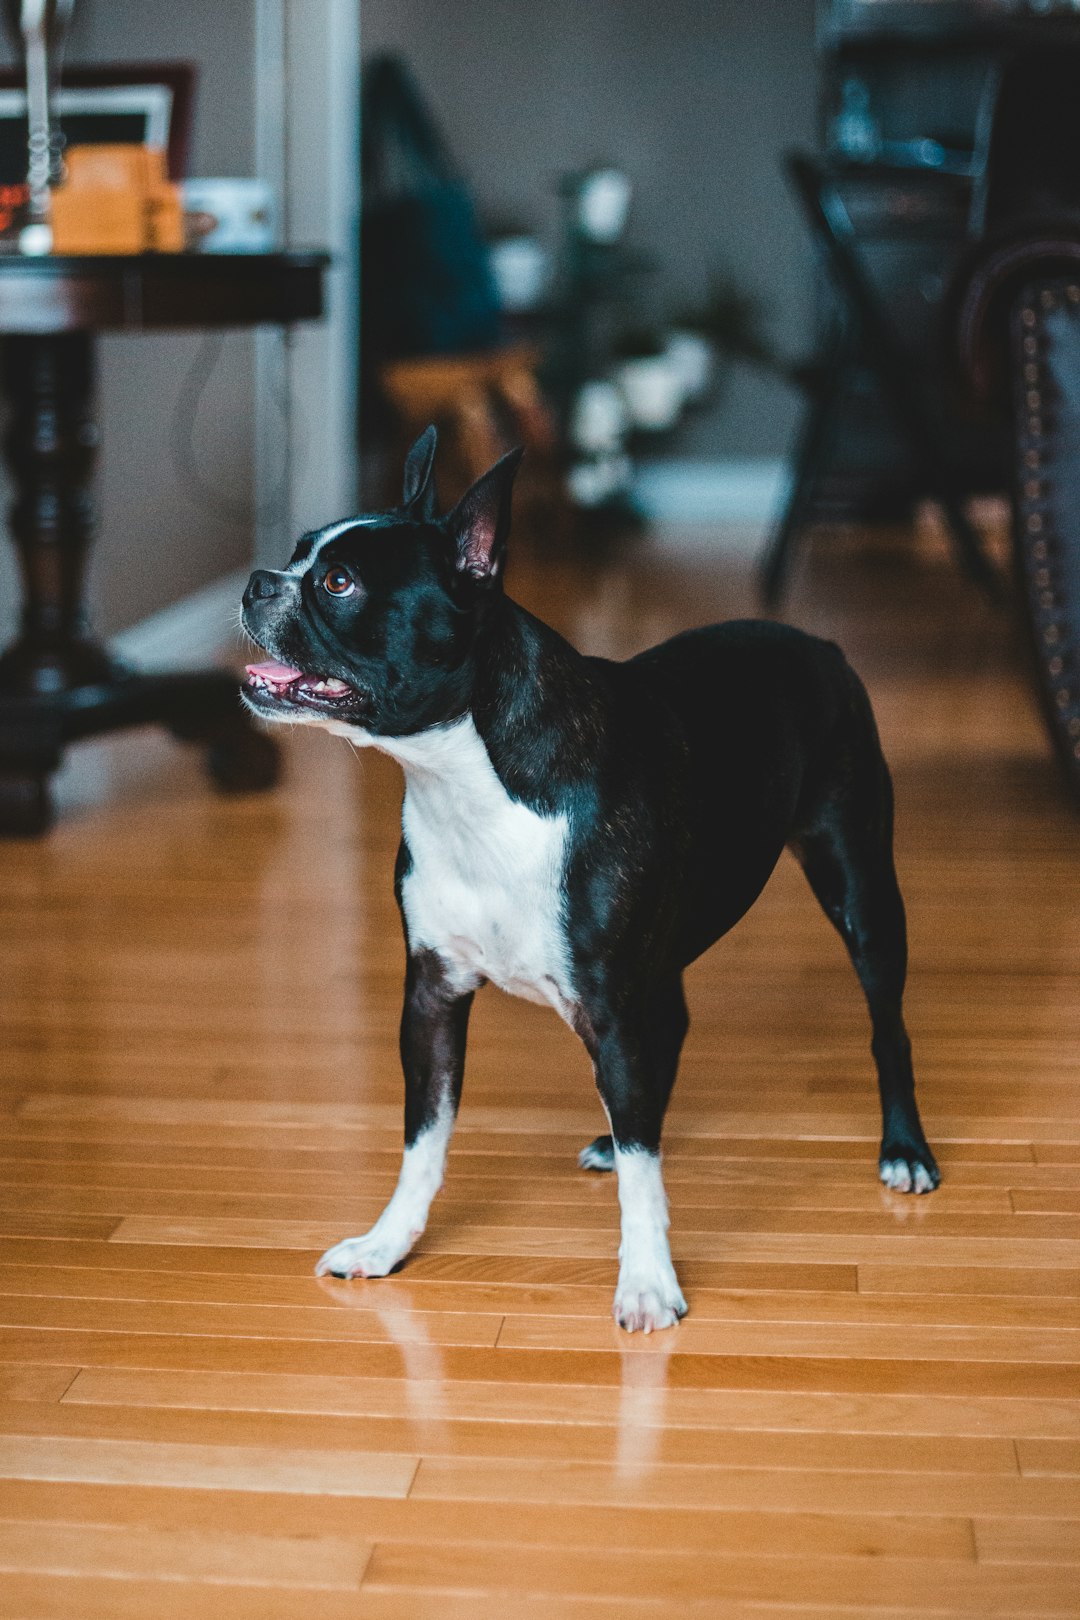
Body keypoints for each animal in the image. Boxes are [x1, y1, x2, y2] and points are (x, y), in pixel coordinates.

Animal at [242, 427, 939, 1328]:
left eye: (338, 582)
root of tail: (819, 643)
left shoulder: (609, 1006)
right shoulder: (433, 998)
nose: (258, 581)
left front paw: (647, 1281)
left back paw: (905, 1150)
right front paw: (388, 1244)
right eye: (298, 554)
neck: (468, 781)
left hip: (860, 893)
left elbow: (646, 1175)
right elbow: (423, 1142)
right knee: (666, 1041)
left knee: (886, 1025)